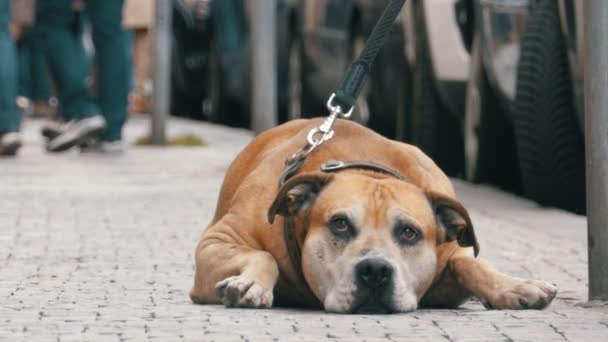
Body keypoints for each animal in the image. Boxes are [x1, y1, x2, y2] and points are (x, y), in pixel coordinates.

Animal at [190, 118, 556, 312]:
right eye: (339, 224)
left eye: (409, 232)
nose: (376, 270)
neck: (369, 170)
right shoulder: (216, 243)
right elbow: (262, 255)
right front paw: (249, 283)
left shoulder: (450, 258)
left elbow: (470, 264)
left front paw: (515, 286)